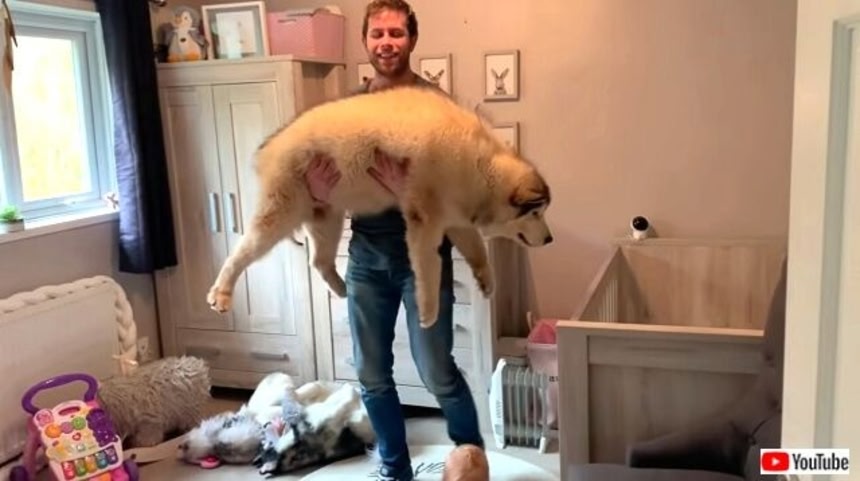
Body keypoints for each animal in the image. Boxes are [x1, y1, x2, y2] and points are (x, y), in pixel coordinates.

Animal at [206, 84, 553, 328]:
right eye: (536, 212)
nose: (550, 239)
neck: (482, 166)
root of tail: (271, 146)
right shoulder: (424, 220)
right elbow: (428, 268)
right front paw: (429, 310)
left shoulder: (457, 219)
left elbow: (476, 248)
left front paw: (486, 277)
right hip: (280, 212)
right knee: (241, 252)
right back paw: (221, 290)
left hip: (327, 215)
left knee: (318, 260)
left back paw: (339, 286)